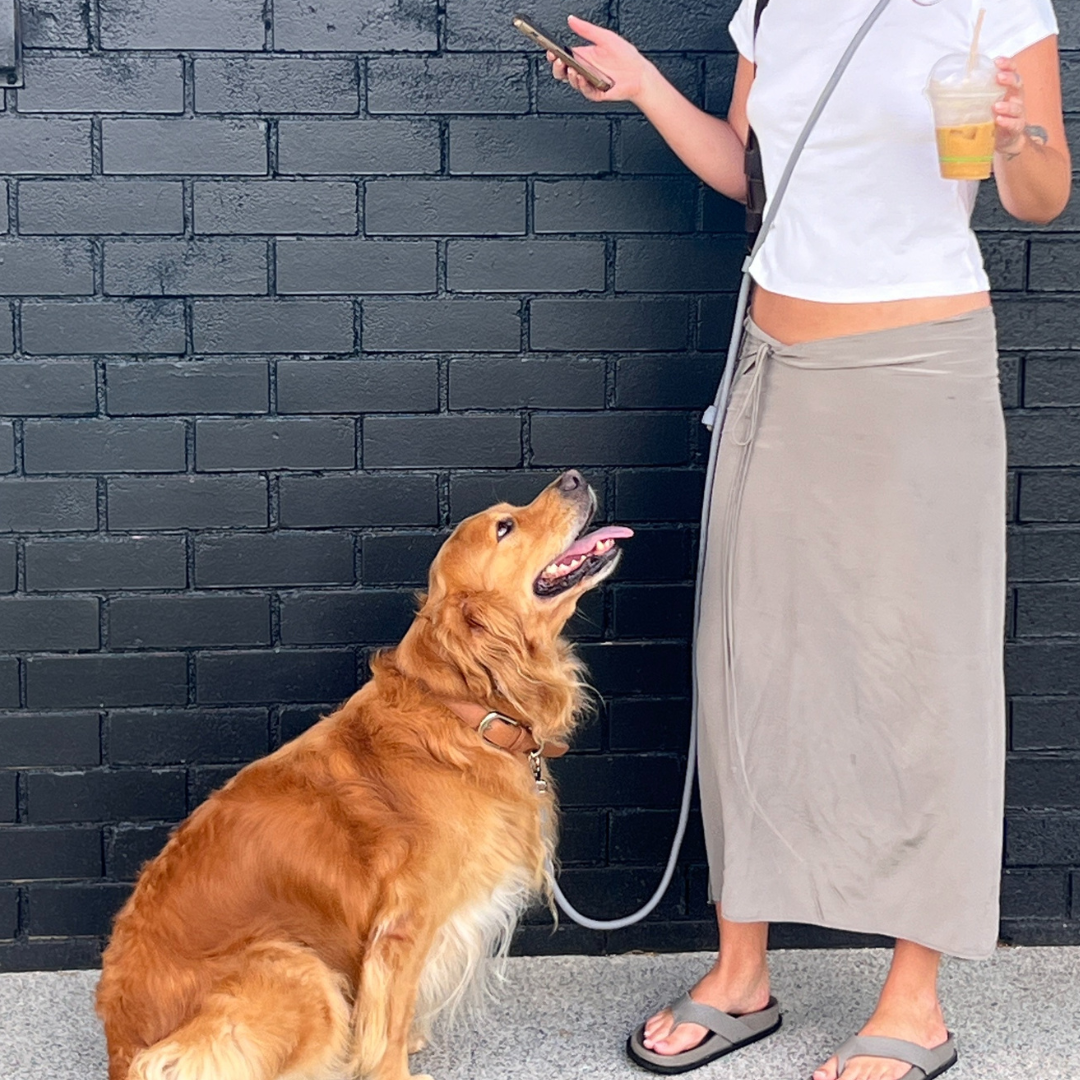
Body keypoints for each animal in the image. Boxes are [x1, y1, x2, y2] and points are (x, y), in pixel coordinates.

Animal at [97, 470, 630, 1080]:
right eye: (505, 526)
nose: (575, 477)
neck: (463, 709)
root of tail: (121, 1046)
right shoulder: (404, 924)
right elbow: (390, 1016)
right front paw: (389, 1066)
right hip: (297, 970)